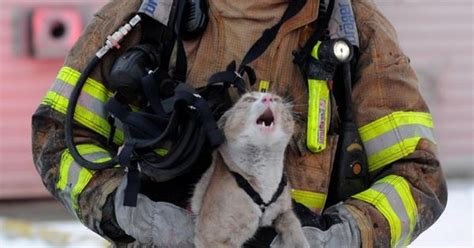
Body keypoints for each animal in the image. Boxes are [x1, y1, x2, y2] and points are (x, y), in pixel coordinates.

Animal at [191, 91, 310, 248]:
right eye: (249, 99)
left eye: (276, 99)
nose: (268, 98)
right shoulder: (210, 235)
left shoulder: (283, 210)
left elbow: (293, 223)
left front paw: (300, 242)